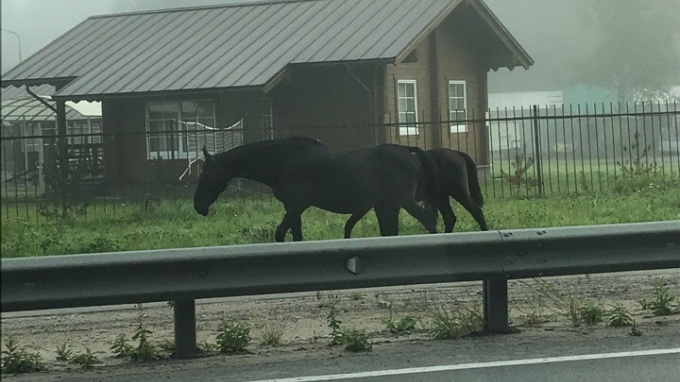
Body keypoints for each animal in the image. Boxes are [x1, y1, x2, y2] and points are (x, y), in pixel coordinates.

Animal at [195, 137, 440, 242]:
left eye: (205, 174)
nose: (198, 206)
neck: (283, 161)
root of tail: (409, 152)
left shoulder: (297, 205)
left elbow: (280, 233)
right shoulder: (292, 208)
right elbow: (296, 236)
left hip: (403, 201)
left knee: (428, 221)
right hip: (387, 206)